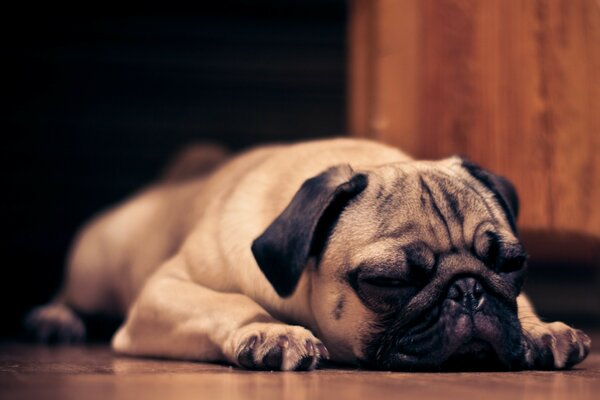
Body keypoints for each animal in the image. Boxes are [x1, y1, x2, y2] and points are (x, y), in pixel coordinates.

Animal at [27, 139, 592, 370]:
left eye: (511, 265)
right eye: (388, 282)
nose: (468, 291)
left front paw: (540, 329)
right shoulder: (163, 292)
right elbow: (231, 304)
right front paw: (271, 332)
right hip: (96, 271)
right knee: (70, 293)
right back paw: (55, 319)